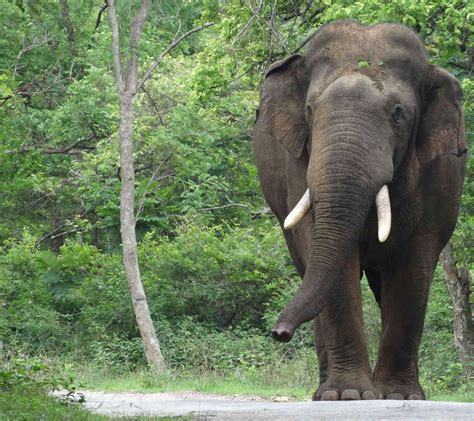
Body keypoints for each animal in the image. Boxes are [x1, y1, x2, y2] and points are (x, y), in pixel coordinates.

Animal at [252, 20, 466, 400]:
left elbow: (414, 262)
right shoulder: (301, 163)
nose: (280, 333)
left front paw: (399, 396)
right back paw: (322, 393)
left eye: (398, 114)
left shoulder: (440, 174)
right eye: (310, 111)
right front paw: (347, 395)